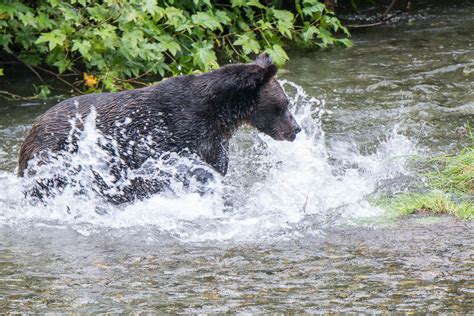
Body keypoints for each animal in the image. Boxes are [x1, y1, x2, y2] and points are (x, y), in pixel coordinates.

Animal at [18, 53, 302, 204]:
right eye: (285, 104)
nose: (296, 129)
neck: (217, 114)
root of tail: (34, 126)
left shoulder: (213, 142)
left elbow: (216, 169)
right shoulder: (167, 134)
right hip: (57, 156)